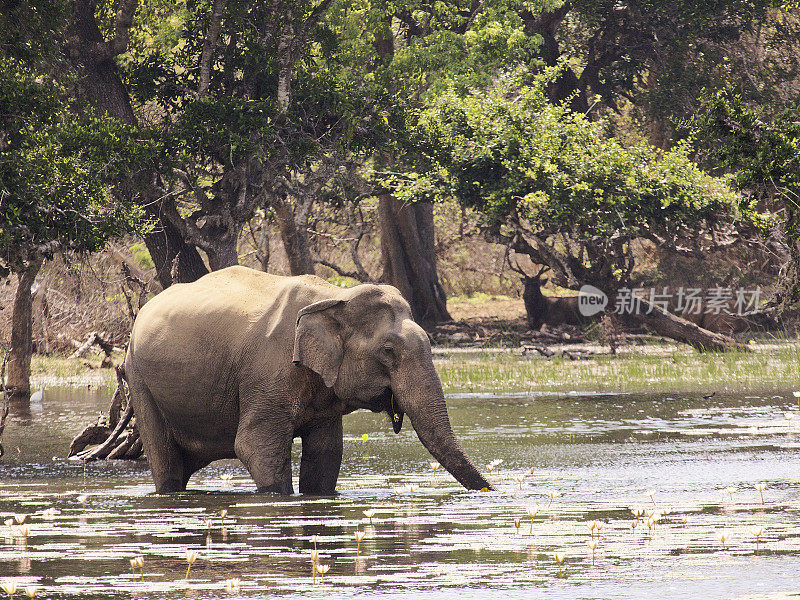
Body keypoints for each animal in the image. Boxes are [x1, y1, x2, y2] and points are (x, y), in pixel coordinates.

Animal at [123, 266, 494, 492]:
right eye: (388, 350)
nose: (492, 492)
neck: (336, 296)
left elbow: (326, 454)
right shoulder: (266, 373)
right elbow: (254, 447)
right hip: (138, 379)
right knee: (165, 461)